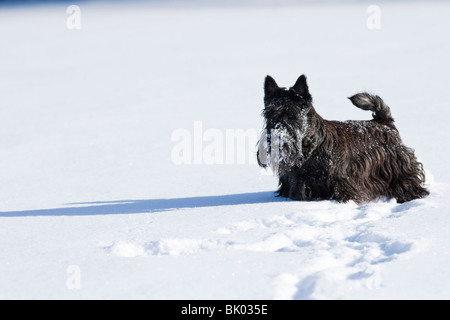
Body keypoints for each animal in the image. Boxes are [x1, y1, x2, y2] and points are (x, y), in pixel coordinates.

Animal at [256, 75, 428, 204]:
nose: (274, 139)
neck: (309, 149)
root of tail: (384, 124)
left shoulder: (342, 186)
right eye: (269, 115)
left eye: (291, 115)